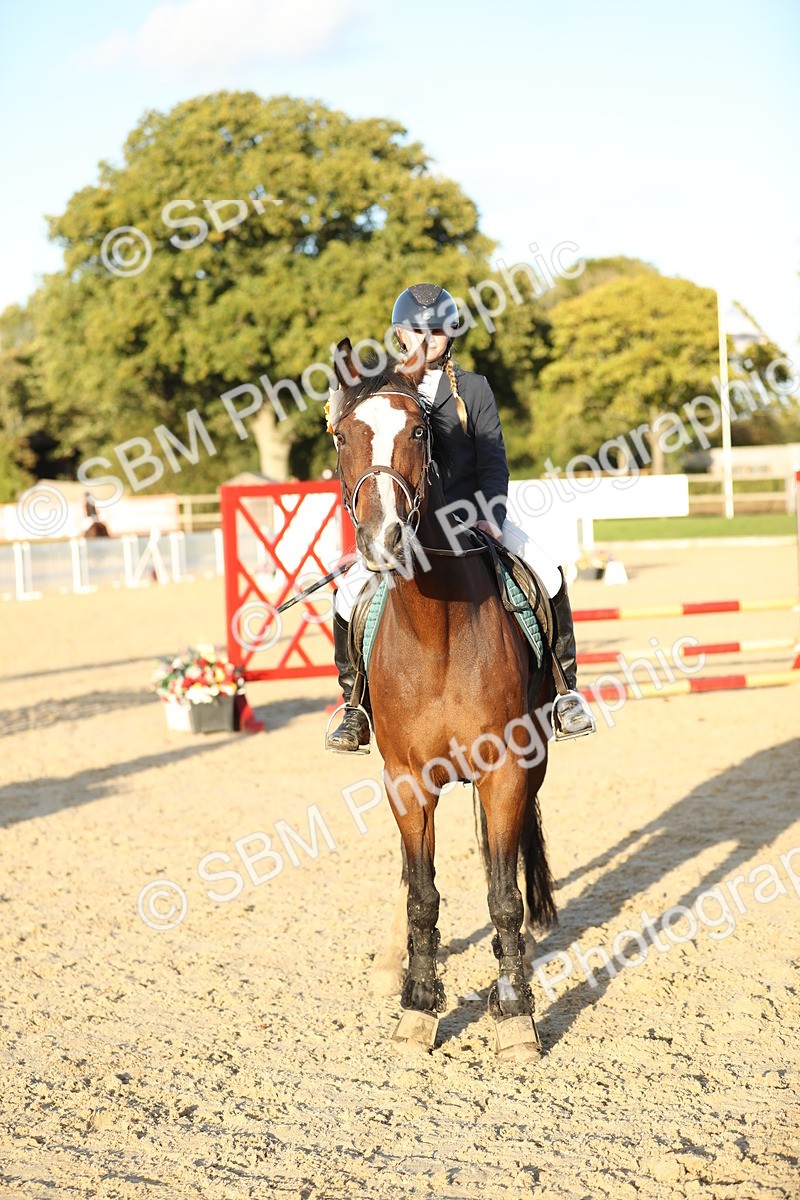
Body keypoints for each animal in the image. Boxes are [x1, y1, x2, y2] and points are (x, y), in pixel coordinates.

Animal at [330, 339, 557, 1060]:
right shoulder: (406, 780)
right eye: (342, 435)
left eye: (420, 432)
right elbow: (422, 893)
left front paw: (514, 1013)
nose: (384, 541)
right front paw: (418, 1006)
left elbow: (503, 894)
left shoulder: (506, 772)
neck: (436, 634)